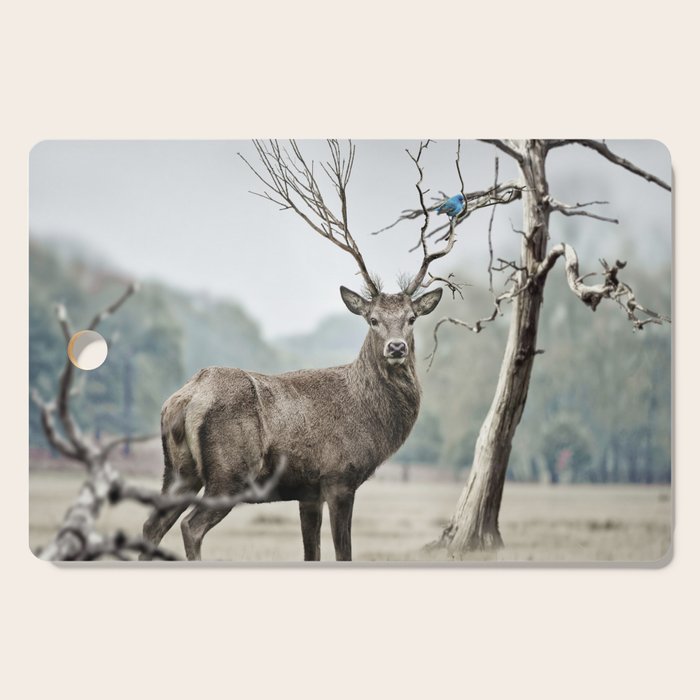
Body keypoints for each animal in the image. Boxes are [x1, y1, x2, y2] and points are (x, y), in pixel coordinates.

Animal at [140, 140, 460, 561]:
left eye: (411, 318)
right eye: (373, 319)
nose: (396, 347)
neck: (370, 421)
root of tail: (184, 398)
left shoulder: (308, 492)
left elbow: (313, 553)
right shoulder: (339, 476)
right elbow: (343, 553)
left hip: (178, 471)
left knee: (151, 525)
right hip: (230, 473)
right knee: (190, 527)